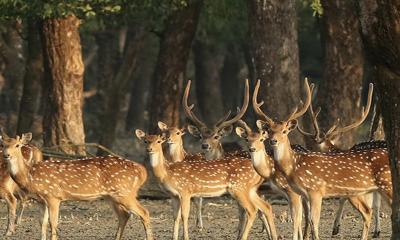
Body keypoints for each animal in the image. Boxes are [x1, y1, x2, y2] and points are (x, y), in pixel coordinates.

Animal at [0, 133, 153, 240]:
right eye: (3, 145)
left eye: (17, 145)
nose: (6, 155)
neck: (30, 176)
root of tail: (142, 171)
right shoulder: (40, 200)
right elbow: (42, 223)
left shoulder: (54, 196)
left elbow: (53, 223)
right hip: (112, 196)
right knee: (124, 215)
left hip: (124, 192)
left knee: (144, 212)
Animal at [136, 129, 276, 240]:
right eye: (145, 141)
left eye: (159, 141)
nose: (149, 149)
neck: (167, 173)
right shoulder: (173, 195)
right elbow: (175, 217)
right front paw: (173, 237)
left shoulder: (185, 191)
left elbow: (184, 215)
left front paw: (186, 237)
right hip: (250, 189)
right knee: (266, 206)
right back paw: (274, 236)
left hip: (239, 187)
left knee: (252, 210)